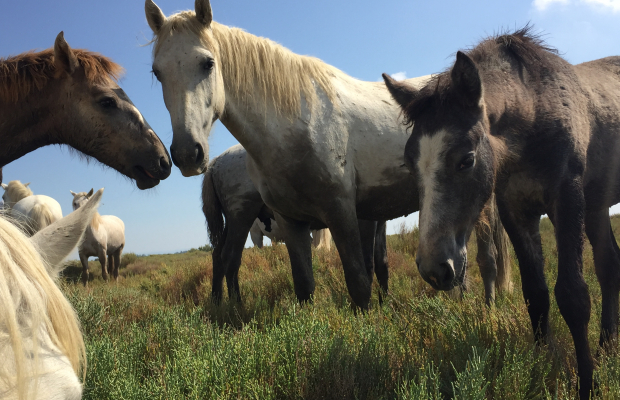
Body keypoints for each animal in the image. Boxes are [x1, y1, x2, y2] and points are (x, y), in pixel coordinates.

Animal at [147, 0, 512, 306]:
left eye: (208, 63)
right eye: (157, 72)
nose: (187, 154)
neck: (297, 125)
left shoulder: (343, 213)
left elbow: (360, 282)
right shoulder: (293, 224)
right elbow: (305, 286)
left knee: (487, 258)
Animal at [386, 26, 620, 398]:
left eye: (466, 160)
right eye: (409, 163)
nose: (435, 269)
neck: (536, 109)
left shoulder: (567, 201)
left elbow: (573, 296)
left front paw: (587, 384)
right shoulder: (516, 211)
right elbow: (536, 295)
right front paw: (541, 372)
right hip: (597, 207)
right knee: (610, 265)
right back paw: (607, 347)